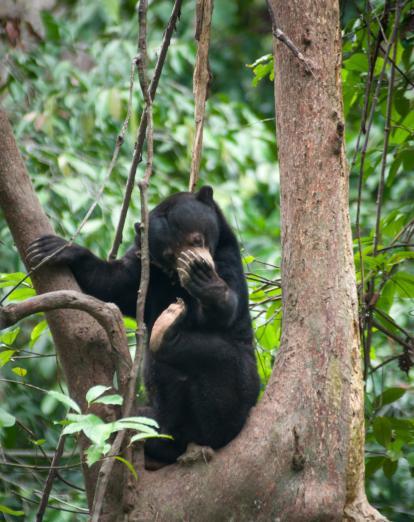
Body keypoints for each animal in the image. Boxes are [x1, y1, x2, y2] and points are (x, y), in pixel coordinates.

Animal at [26, 186, 258, 464]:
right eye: (169, 255)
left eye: (196, 239)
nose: (197, 262)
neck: (169, 278)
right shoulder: (143, 265)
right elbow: (114, 283)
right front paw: (54, 248)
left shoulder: (226, 257)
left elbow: (225, 311)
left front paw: (203, 280)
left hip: (242, 388)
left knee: (221, 361)